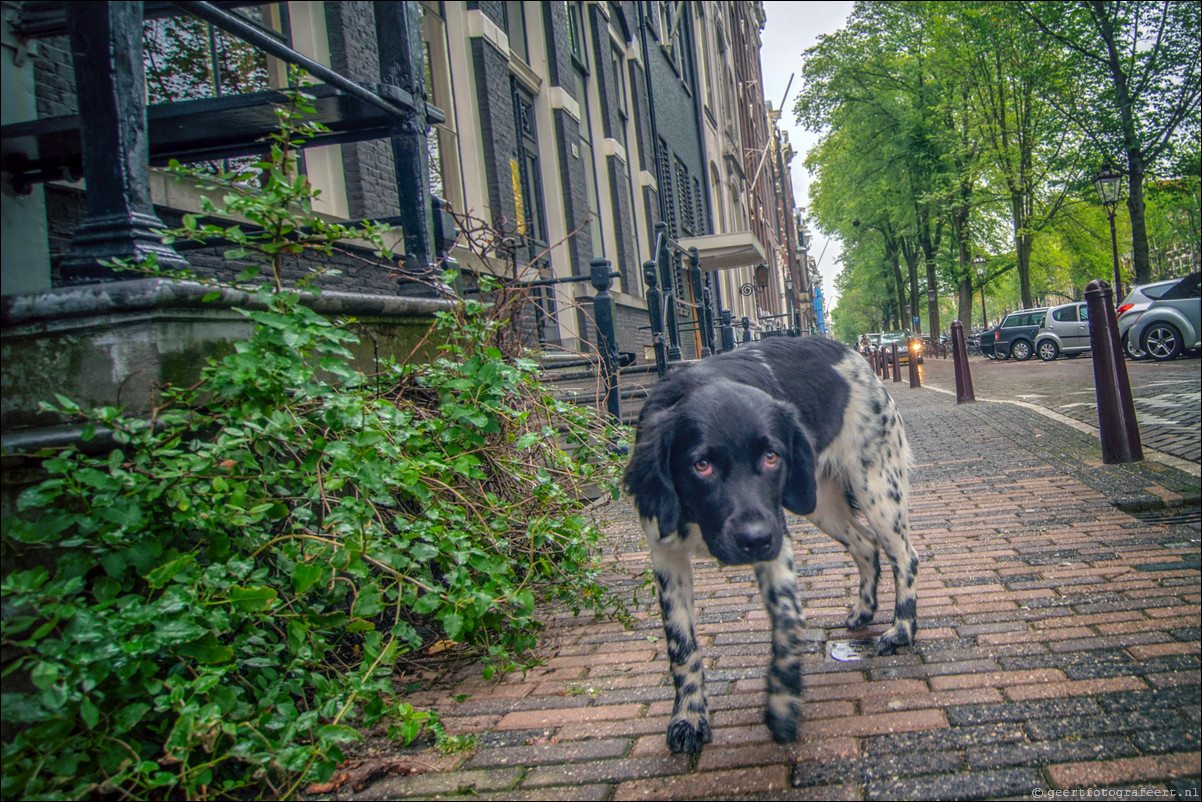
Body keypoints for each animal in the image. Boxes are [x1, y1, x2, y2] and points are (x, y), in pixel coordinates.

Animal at [625, 336, 913, 755]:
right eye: (701, 465)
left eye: (771, 457)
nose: (756, 539)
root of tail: (856, 354)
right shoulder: (666, 556)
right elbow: (682, 646)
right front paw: (689, 717)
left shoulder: (776, 539)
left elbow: (787, 623)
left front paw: (782, 703)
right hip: (819, 502)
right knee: (864, 544)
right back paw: (863, 611)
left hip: (877, 491)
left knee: (906, 557)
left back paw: (901, 630)